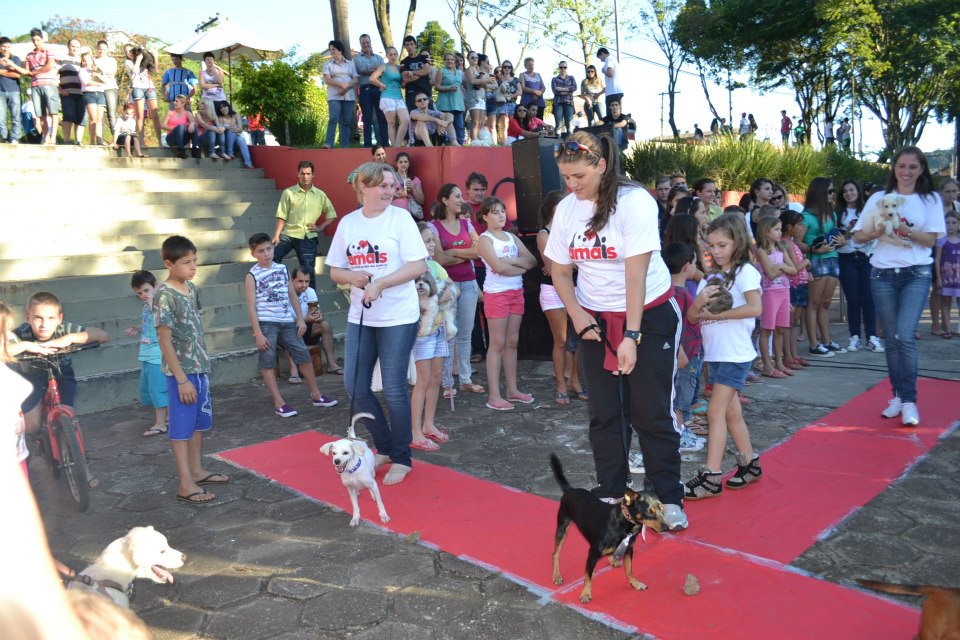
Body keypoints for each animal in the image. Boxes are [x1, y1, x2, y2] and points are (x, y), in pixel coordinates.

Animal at [548, 452, 668, 604]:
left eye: (662, 508)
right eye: (650, 512)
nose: (667, 528)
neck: (625, 523)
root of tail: (570, 490)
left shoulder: (629, 550)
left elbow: (629, 570)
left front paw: (635, 583)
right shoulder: (592, 554)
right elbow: (588, 576)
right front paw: (586, 593)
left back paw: (612, 559)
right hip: (562, 528)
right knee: (555, 554)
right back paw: (556, 575)